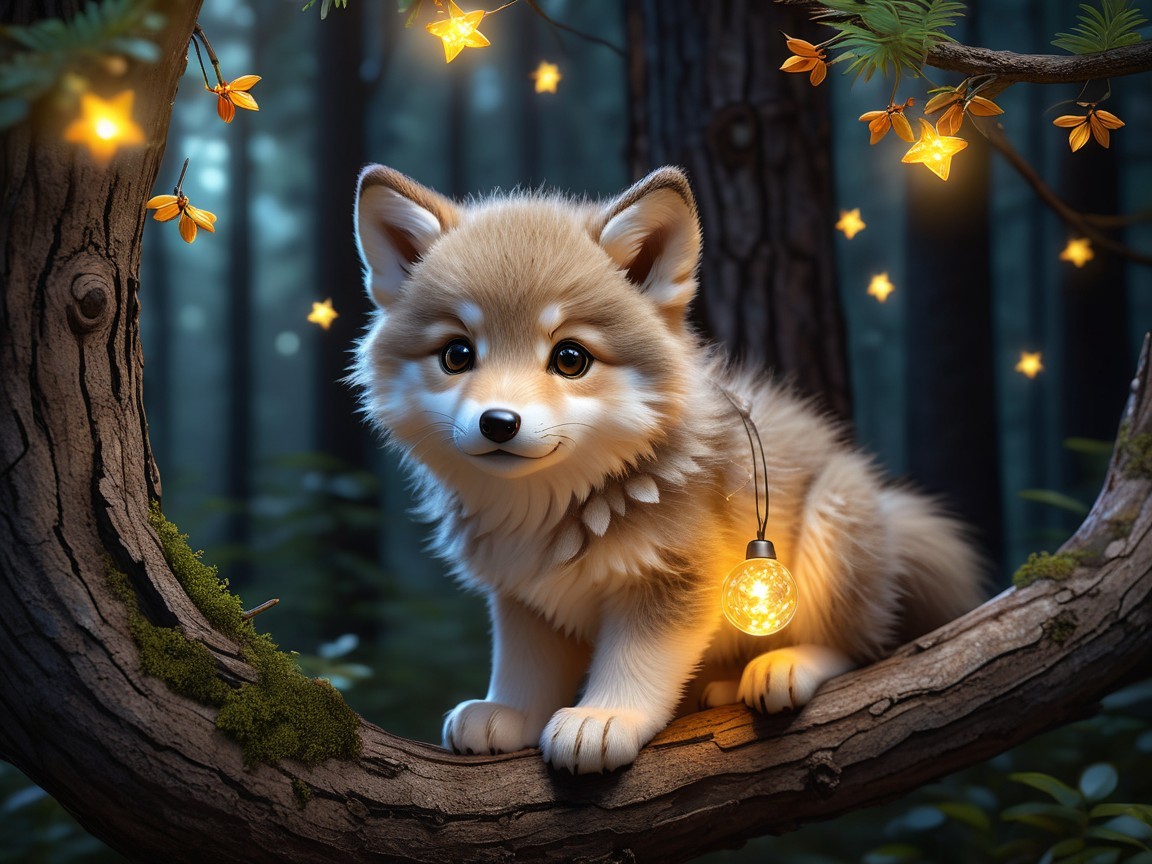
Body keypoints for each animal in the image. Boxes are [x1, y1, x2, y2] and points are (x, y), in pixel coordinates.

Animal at [350, 164, 985, 775]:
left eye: (570, 358)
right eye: (457, 354)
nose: (498, 422)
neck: (556, 506)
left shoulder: (678, 578)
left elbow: (636, 661)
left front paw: (603, 716)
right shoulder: (525, 597)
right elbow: (525, 666)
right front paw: (508, 711)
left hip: (834, 518)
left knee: (858, 644)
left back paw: (783, 664)